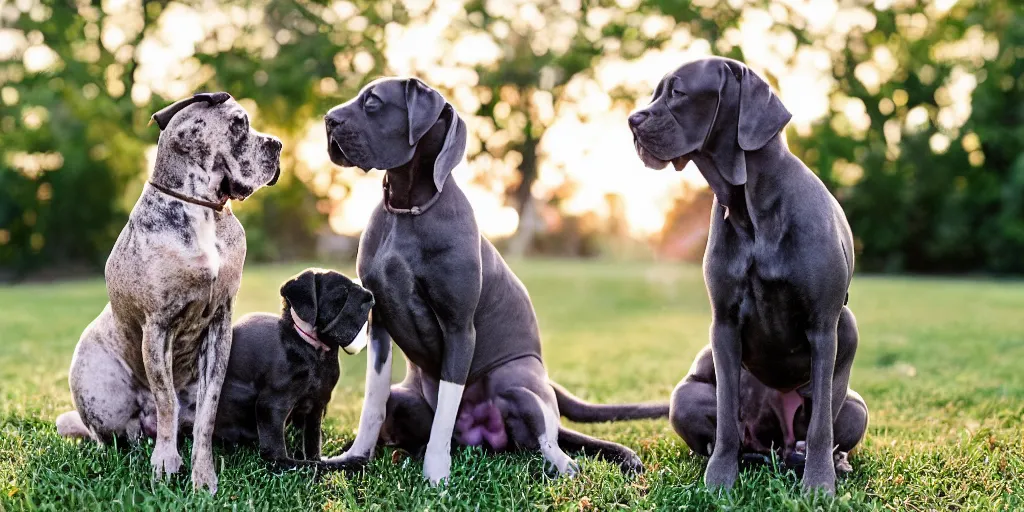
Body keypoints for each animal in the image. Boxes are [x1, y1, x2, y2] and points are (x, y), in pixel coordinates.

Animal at [214, 268, 374, 468]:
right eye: (340, 294)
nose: (370, 296)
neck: (314, 352)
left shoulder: (317, 406)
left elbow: (313, 448)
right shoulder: (272, 407)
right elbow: (303, 463)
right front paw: (348, 463)